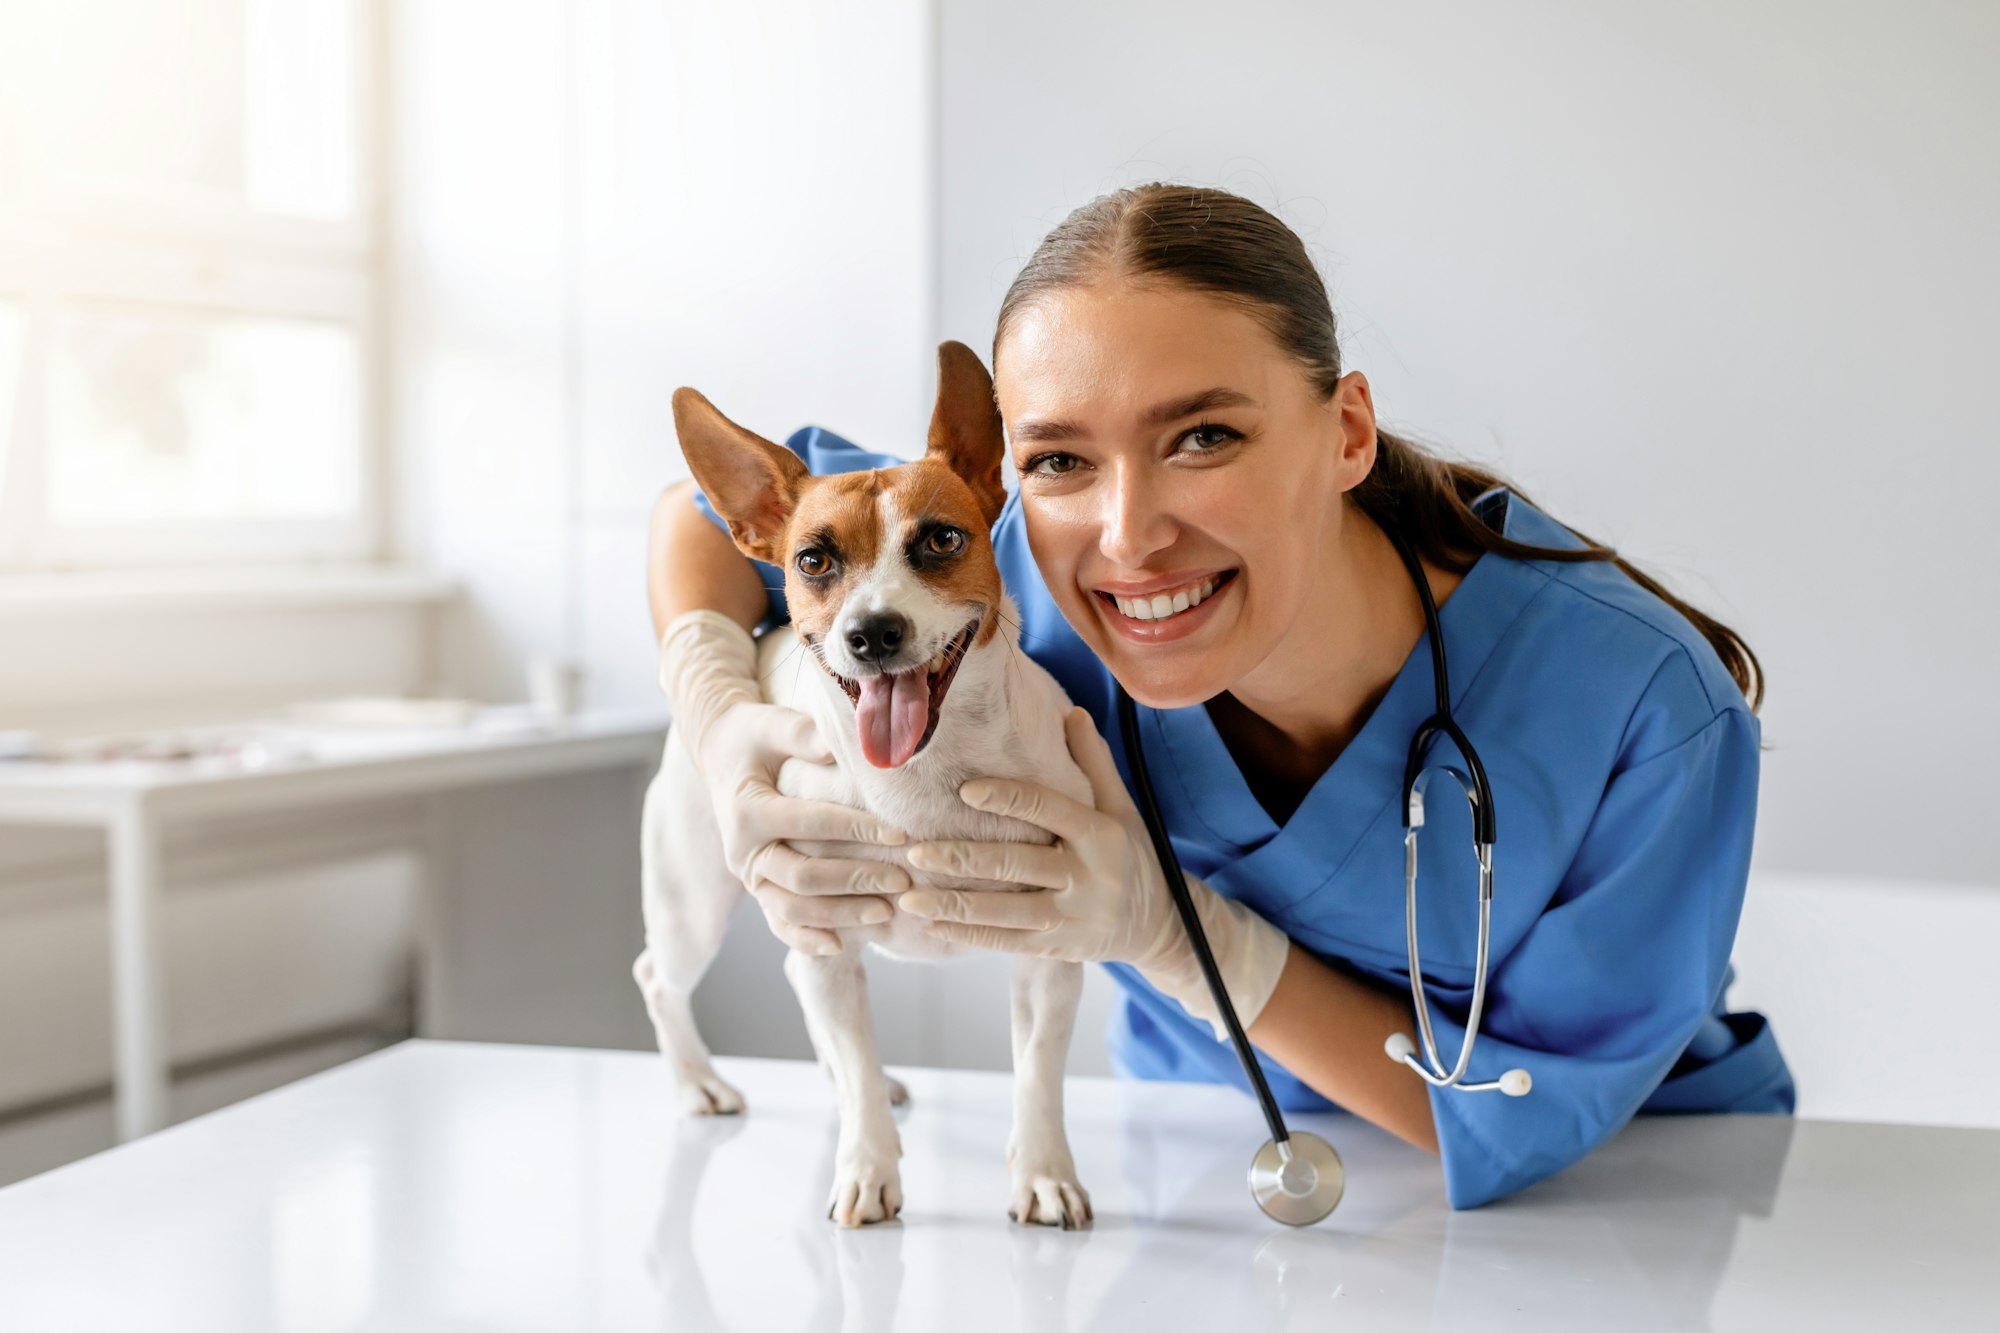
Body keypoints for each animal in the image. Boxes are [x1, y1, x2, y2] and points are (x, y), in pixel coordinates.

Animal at [636, 342, 1096, 1224]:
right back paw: (698, 1081)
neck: (927, 770)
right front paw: (867, 1165)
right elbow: (853, 1070)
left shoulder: (1051, 953)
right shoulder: (822, 926)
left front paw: (1044, 1172)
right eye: (814, 560)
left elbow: (1039, 1072)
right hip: (699, 900)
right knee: (664, 977)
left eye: (942, 539)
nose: (872, 632)